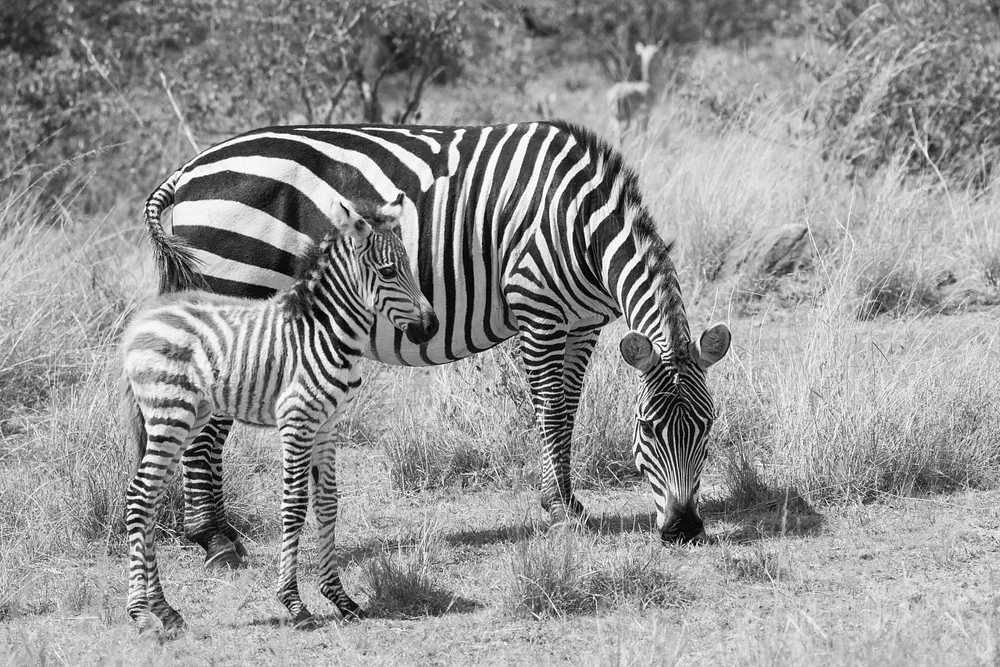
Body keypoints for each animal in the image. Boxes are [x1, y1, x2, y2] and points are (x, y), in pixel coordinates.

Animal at [122, 192, 437, 636]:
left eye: (408, 267)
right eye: (390, 271)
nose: (430, 327)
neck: (324, 331)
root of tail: (141, 321)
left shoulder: (327, 426)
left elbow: (327, 504)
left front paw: (341, 599)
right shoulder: (296, 421)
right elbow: (294, 506)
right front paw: (294, 604)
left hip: (185, 419)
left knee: (148, 500)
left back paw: (166, 611)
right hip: (170, 415)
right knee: (138, 497)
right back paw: (141, 614)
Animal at [145, 120, 731, 567]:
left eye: (707, 428)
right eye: (648, 430)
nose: (683, 530)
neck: (580, 223)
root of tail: (186, 170)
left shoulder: (583, 323)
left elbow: (568, 410)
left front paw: (570, 502)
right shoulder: (537, 310)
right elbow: (548, 409)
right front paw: (558, 509)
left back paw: (218, 533)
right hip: (235, 287)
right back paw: (214, 540)